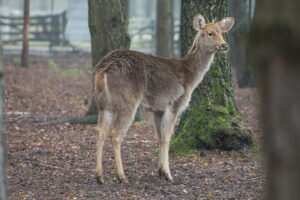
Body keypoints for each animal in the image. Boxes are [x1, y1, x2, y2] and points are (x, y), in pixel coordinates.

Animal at [94, 13, 234, 184]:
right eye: (210, 33)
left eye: (222, 32)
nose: (224, 45)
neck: (190, 76)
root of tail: (103, 70)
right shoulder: (175, 103)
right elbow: (167, 137)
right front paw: (168, 174)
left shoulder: (157, 109)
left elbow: (160, 137)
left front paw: (160, 171)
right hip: (127, 101)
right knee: (115, 134)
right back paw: (122, 177)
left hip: (103, 104)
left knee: (100, 131)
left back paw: (99, 176)